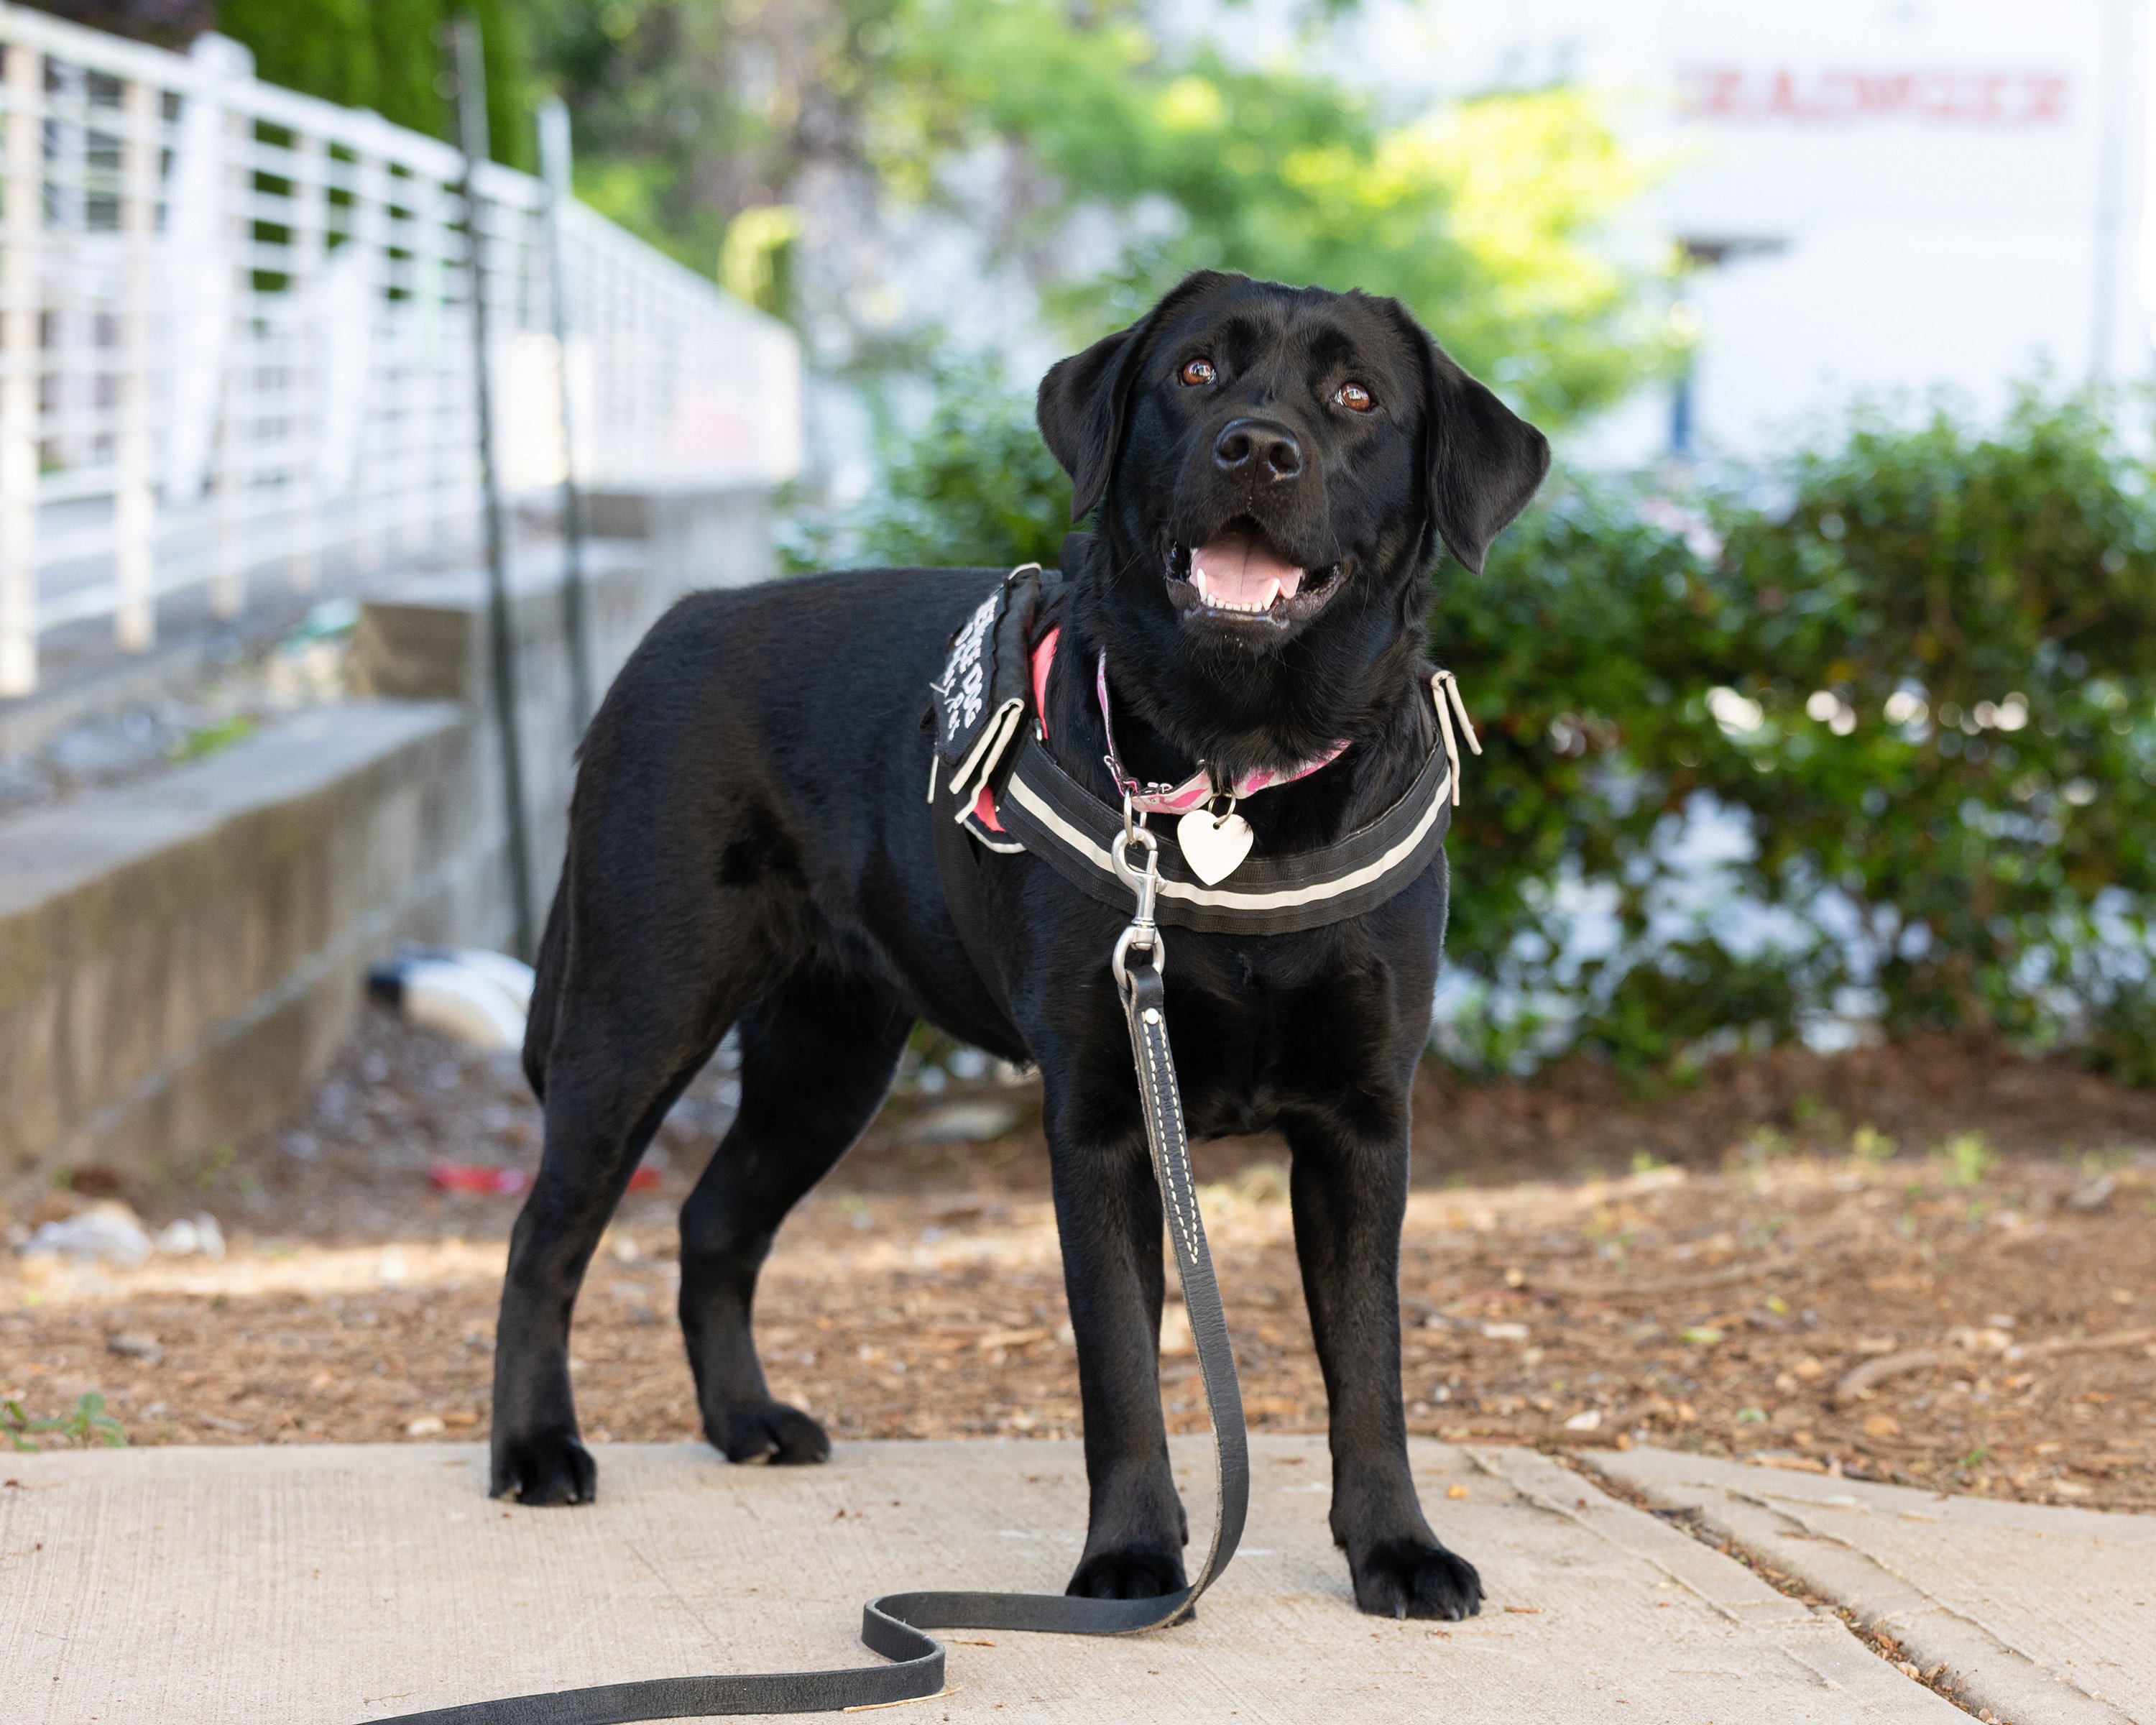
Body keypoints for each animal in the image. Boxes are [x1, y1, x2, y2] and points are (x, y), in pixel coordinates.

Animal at [496, 266, 1544, 1622]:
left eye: (1358, 397)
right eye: (1196, 373)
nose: (1258, 448)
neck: (1235, 764)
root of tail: (671, 627)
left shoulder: (1366, 1122)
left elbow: (1370, 1363)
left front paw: (1397, 1549)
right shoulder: (1101, 1117)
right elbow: (1122, 1368)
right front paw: (1133, 1563)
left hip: (828, 1063)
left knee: (713, 1223)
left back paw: (745, 1422)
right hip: (638, 1016)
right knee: (546, 1236)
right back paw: (533, 1449)